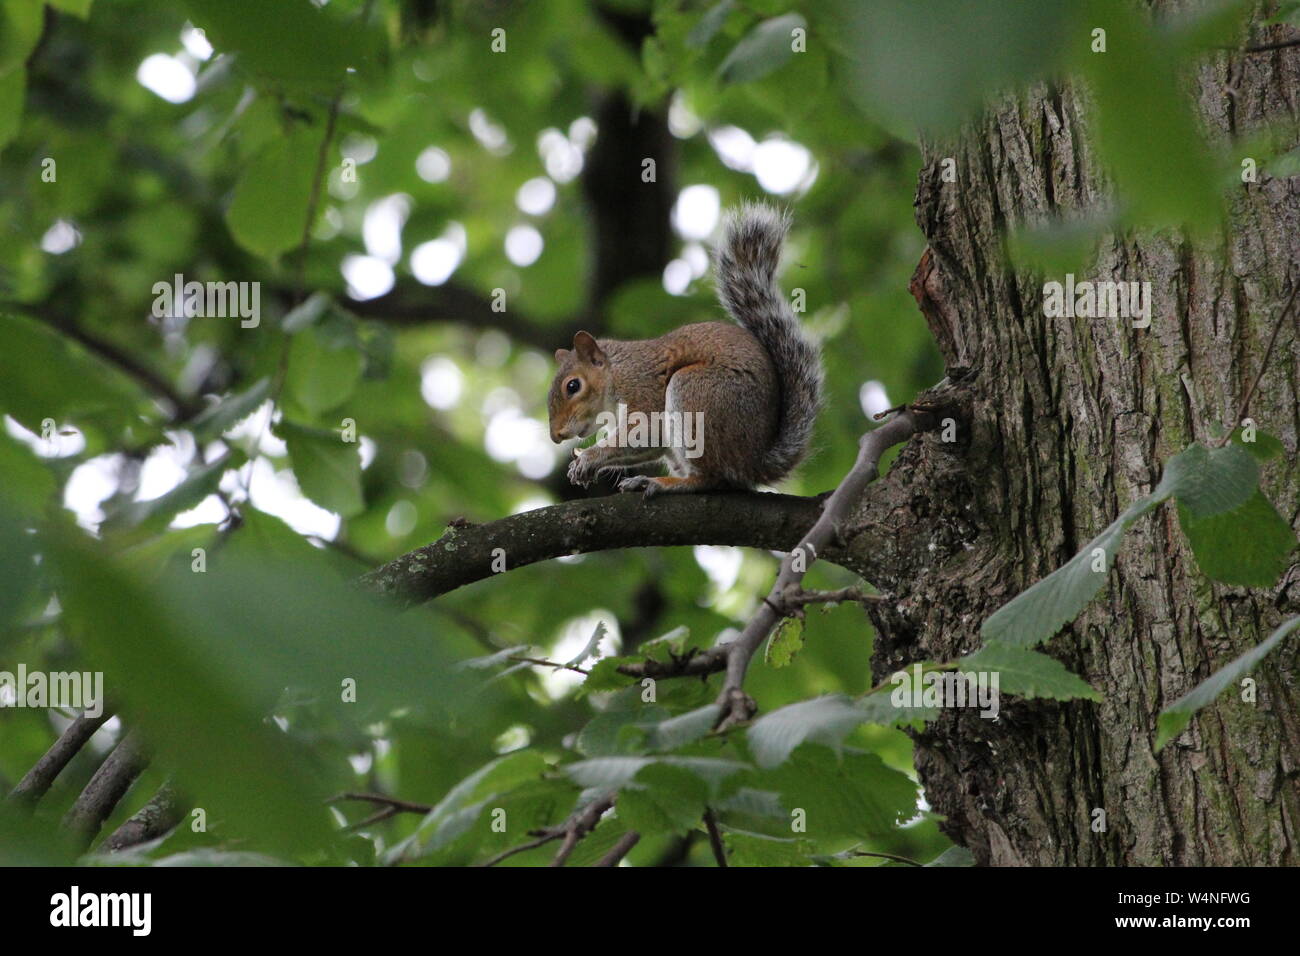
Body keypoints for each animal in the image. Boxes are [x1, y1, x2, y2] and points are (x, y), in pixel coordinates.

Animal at [548, 201, 822, 497]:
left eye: (573, 386)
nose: (556, 436)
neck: (616, 372)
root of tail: (753, 462)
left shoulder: (642, 390)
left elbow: (646, 432)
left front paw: (588, 458)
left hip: (695, 394)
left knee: (712, 478)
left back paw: (663, 483)